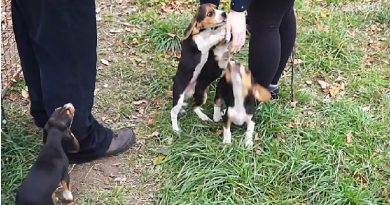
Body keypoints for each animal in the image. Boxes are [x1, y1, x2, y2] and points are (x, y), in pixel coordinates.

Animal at [171, 3, 232, 131]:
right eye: (209, 13)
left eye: (216, 8)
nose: (224, 13)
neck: (205, 32)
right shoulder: (202, 44)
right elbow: (212, 39)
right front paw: (222, 32)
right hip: (179, 98)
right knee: (173, 112)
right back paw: (175, 128)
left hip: (202, 94)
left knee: (194, 106)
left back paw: (201, 115)